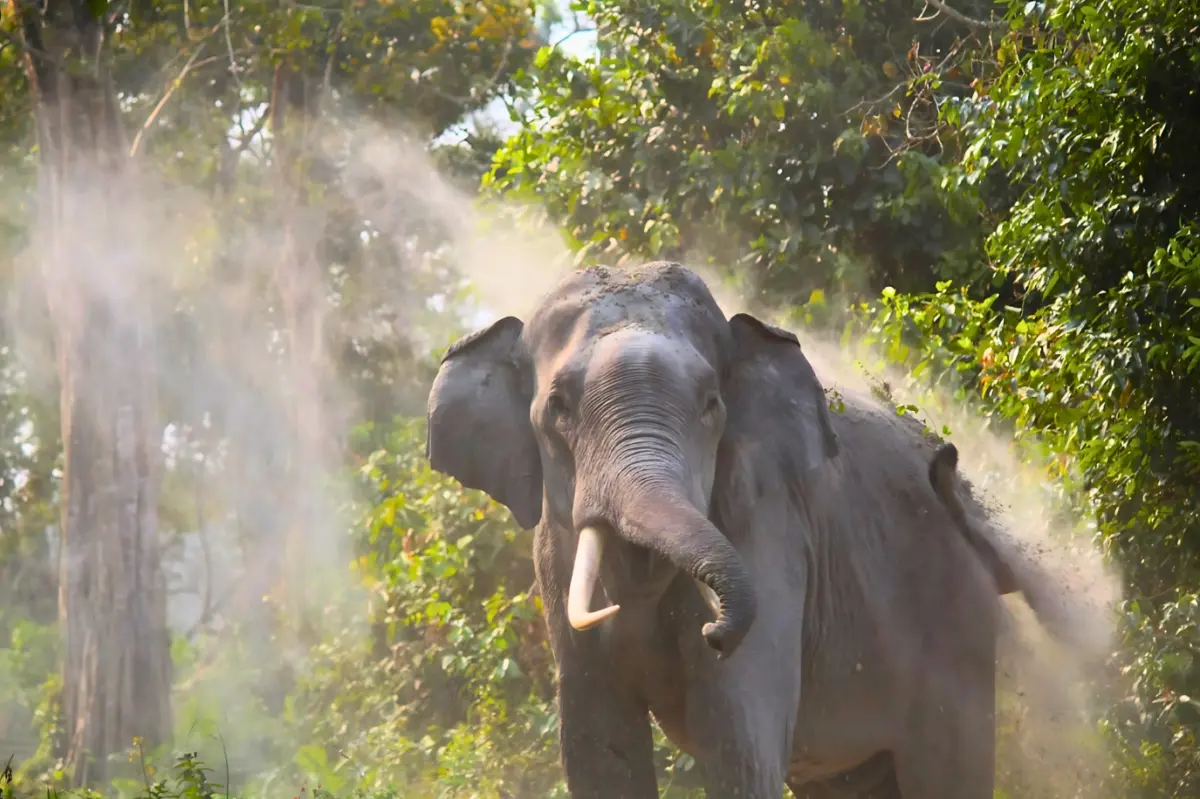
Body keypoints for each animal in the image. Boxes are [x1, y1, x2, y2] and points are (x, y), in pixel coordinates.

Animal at [425, 261, 1066, 799]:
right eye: (556, 408)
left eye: (712, 404)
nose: (715, 629)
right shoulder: (554, 557)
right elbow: (598, 745)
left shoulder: (767, 524)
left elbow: (737, 737)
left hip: (958, 638)